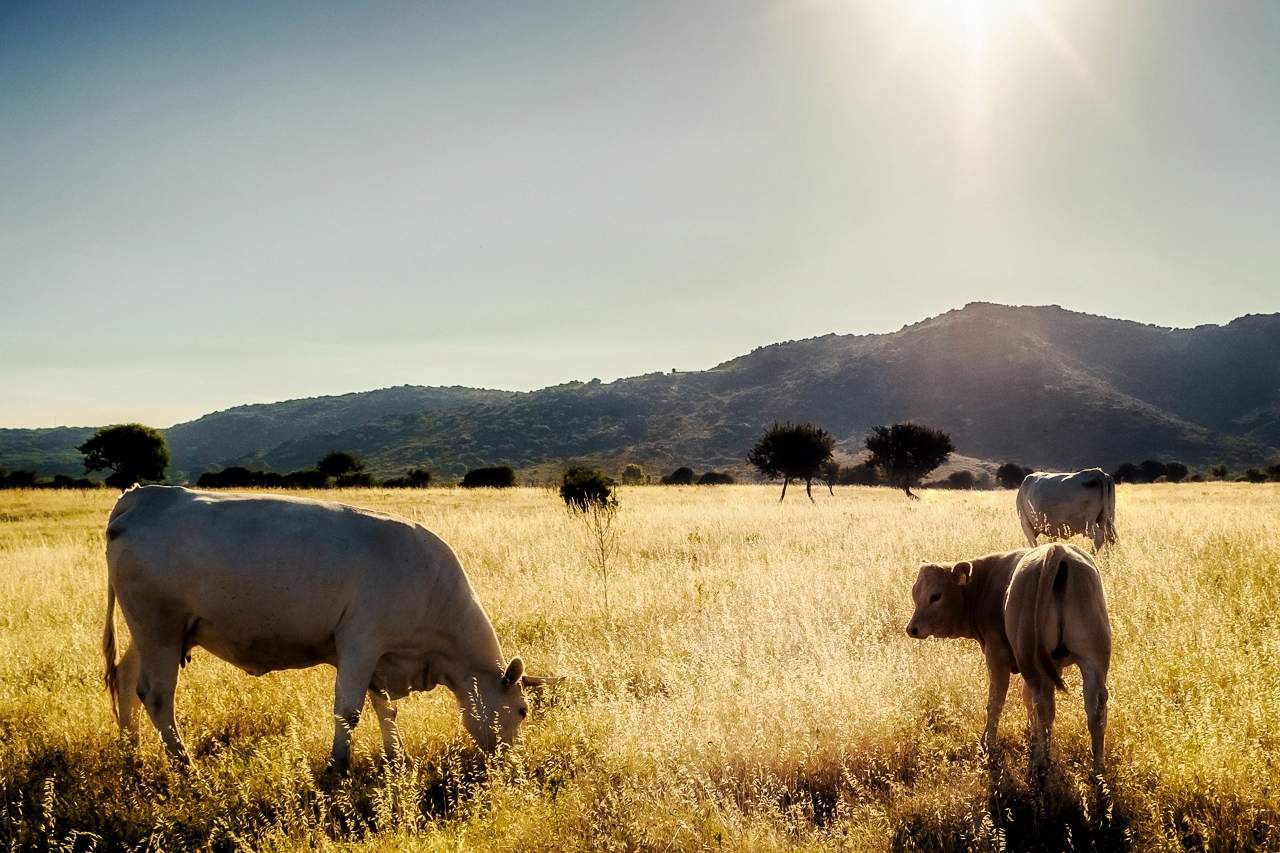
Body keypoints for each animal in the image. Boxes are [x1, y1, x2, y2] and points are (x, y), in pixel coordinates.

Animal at [102, 485, 553, 770]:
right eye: (523, 710)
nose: (510, 761)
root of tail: (144, 495)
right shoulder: (361, 643)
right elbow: (349, 711)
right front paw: (339, 766)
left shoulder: (381, 658)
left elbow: (384, 708)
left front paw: (395, 758)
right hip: (158, 626)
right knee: (157, 695)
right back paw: (184, 766)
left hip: (153, 630)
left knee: (125, 678)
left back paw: (131, 749)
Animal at [905, 543, 1111, 778]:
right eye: (914, 592)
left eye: (935, 596)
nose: (911, 628)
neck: (985, 584)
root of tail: (1057, 549)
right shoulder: (1053, 665)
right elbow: (1026, 698)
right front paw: (1031, 733)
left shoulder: (997, 656)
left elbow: (996, 702)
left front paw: (987, 743)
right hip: (1093, 661)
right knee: (1094, 709)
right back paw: (1097, 769)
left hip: (1031, 661)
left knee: (1044, 705)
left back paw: (1041, 762)